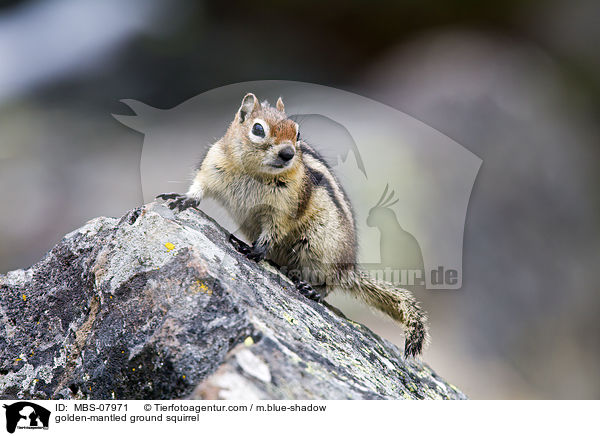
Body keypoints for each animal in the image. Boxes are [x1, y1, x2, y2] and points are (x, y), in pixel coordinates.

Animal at [157, 93, 428, 356]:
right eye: (258, 129)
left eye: (297, 133)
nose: (288, 153)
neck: (255, 172)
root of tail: (349, 268)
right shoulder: (213, 166)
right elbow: (199, 188)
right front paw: (182, 199)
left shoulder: (286, 207)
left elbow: (274, 230)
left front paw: (254, 250)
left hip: (320, 246)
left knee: (331, 282)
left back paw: (312, 289)